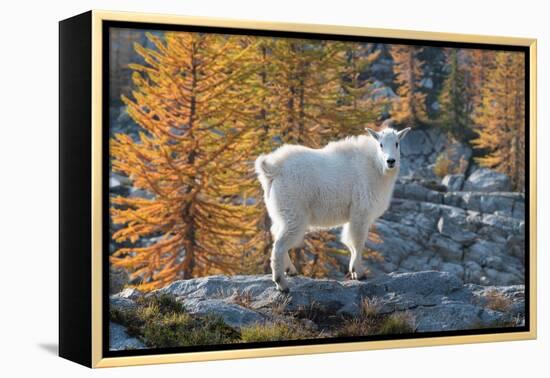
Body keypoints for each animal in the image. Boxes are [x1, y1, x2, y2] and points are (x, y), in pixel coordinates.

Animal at [256, 121, 412, 292]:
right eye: (381, 144)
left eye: (397, 143)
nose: (391, 161)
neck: (375, 166)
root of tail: (273, 170)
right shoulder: (361, 211)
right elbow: (357, 242)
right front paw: (359, 273)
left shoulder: (352, 215)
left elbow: (349, 242)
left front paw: (353, 271)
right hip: (294, 213)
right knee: (279, 245)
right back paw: (282, 284)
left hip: (281, 212)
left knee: (275, 235)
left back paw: (290, 270)